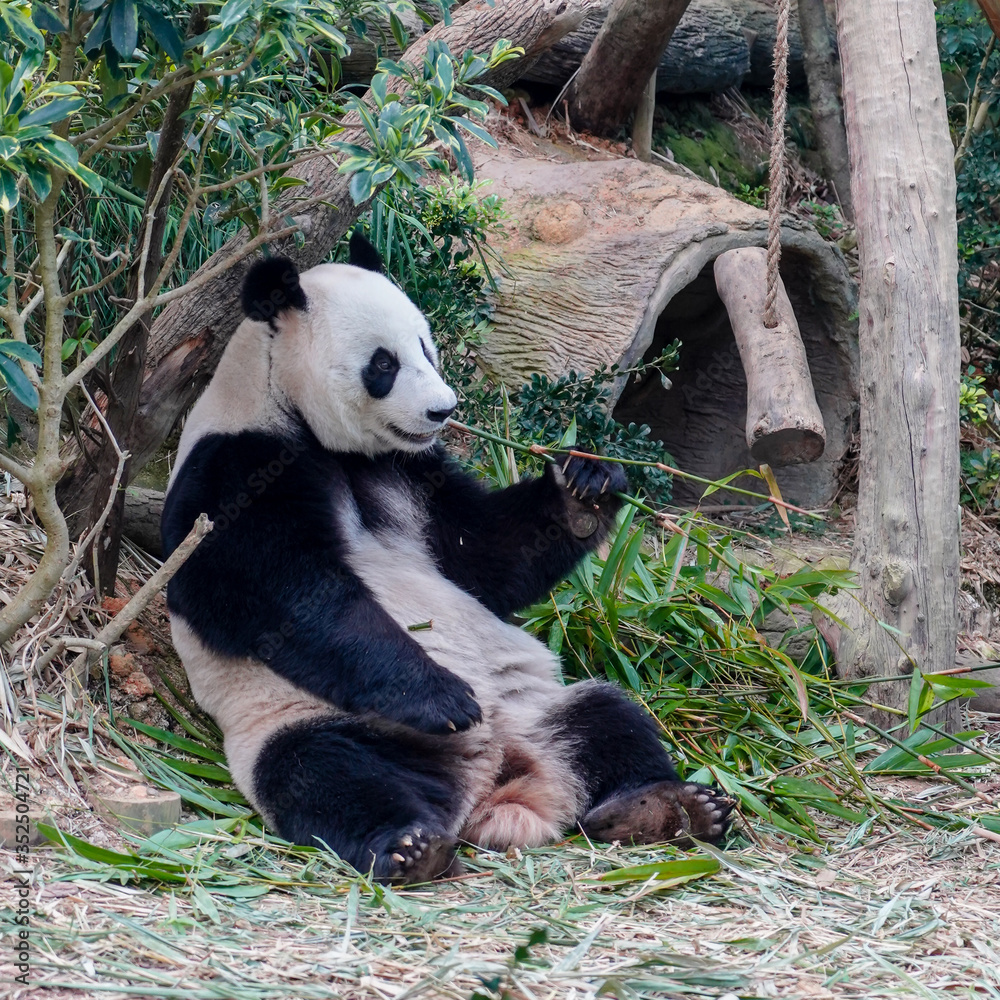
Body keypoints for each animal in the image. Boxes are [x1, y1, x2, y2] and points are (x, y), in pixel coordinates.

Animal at [161, 233, 733, 883]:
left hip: (535, 710)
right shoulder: (234, 465)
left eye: (426, 348)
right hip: (305, 720)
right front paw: (442, 697)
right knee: (322, 770)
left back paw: (666, 807)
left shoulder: (411, 470)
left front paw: (586, 483)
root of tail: (491, 788)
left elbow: (482, 558)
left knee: (608, 717)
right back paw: (409, 845)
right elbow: (276, 590)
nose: (442, 410)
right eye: (383, 364)